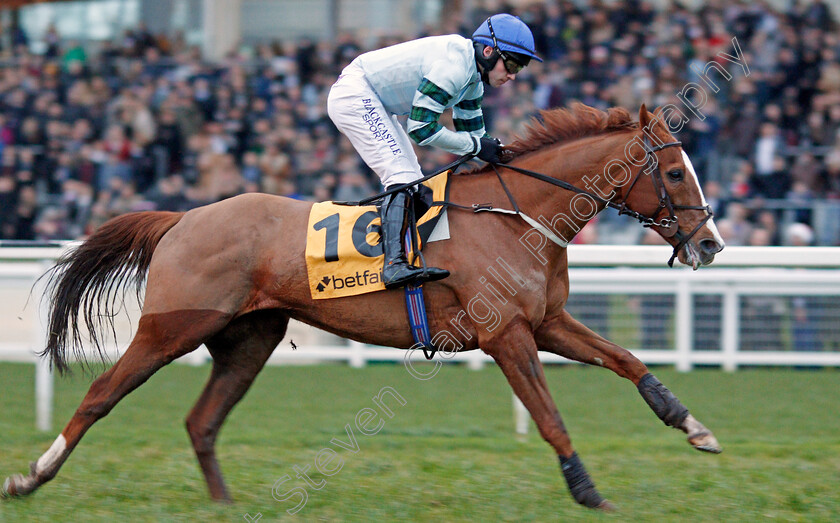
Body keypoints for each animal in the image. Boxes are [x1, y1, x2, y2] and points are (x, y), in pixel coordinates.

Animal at [3, 104, 724, 510]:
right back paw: (33, 475)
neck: (517, 214)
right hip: (170, 327)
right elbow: (549, 416)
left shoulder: (547, 322)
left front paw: (694, 426)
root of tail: (184, 217)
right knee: (101, 392)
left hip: (249, 338)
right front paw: (587, 490)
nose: (711, 243)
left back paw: (224, 504)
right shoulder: (507, 333)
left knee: (201, 420)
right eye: (676, 172)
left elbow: (627, 359)